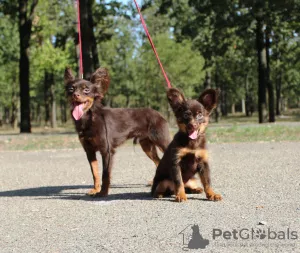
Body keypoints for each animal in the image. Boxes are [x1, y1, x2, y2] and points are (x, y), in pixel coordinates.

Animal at [63, 67, 171, 198]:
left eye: (86, 90)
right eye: (71, 89)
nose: (75, 95)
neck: (89, 118)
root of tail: (159, 114)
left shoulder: (107, 151)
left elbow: (105, 175)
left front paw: (103, 192)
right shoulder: (89, 151)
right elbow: (95, 173)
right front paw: (95, 189)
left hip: (162, 142)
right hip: (147, 146)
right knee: (159, 162)